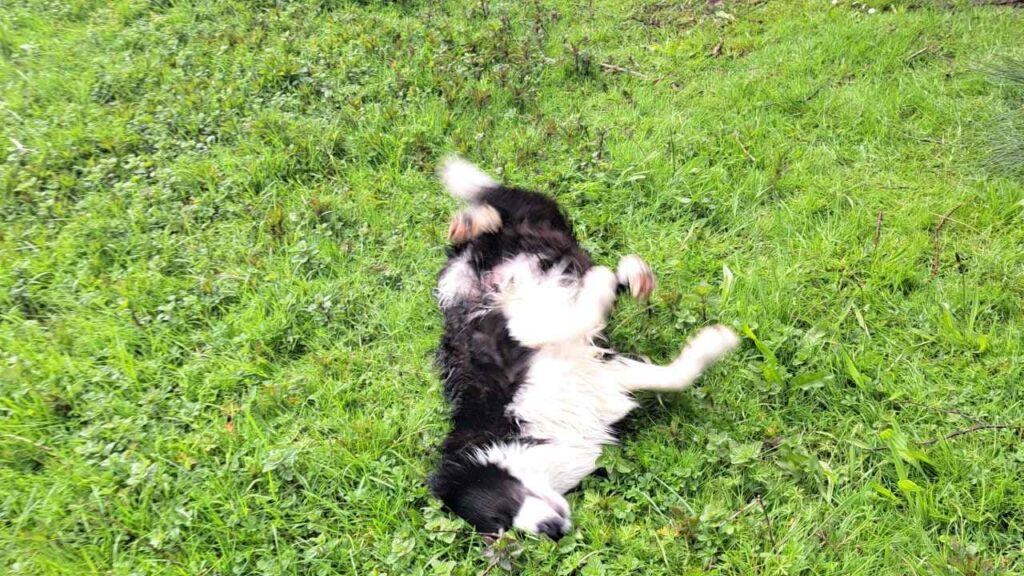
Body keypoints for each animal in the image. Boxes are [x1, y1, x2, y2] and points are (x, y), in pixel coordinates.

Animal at [428, 156, 741, 537]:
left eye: (500, 516)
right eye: (500, 533)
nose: (552, 532)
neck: (522, 431)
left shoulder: (511, 334)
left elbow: (570, 318)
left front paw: (600, 287)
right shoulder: (602, 378)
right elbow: (676, 376)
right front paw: (714, 343)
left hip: (525, 230)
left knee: (497, 207)